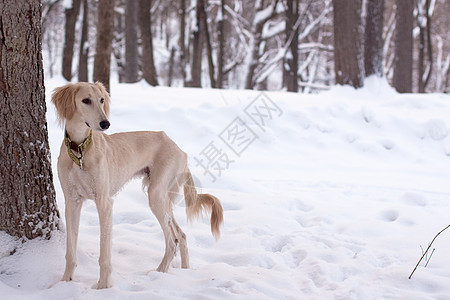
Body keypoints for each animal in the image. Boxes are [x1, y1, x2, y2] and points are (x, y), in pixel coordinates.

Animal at [51, 81, 224, 288]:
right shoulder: (72, 201)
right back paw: (184, 271)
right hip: (163, 197)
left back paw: (159, 273)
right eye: (86, 100)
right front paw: (65, 282)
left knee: (172, 240)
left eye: (101, 100)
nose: (105, 124)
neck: (79, 151)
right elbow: (70, 251)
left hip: (156, 195)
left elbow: (104, 253)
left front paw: (103, 287)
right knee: (181, 235)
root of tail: (180, 150)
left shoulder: (104, 203)